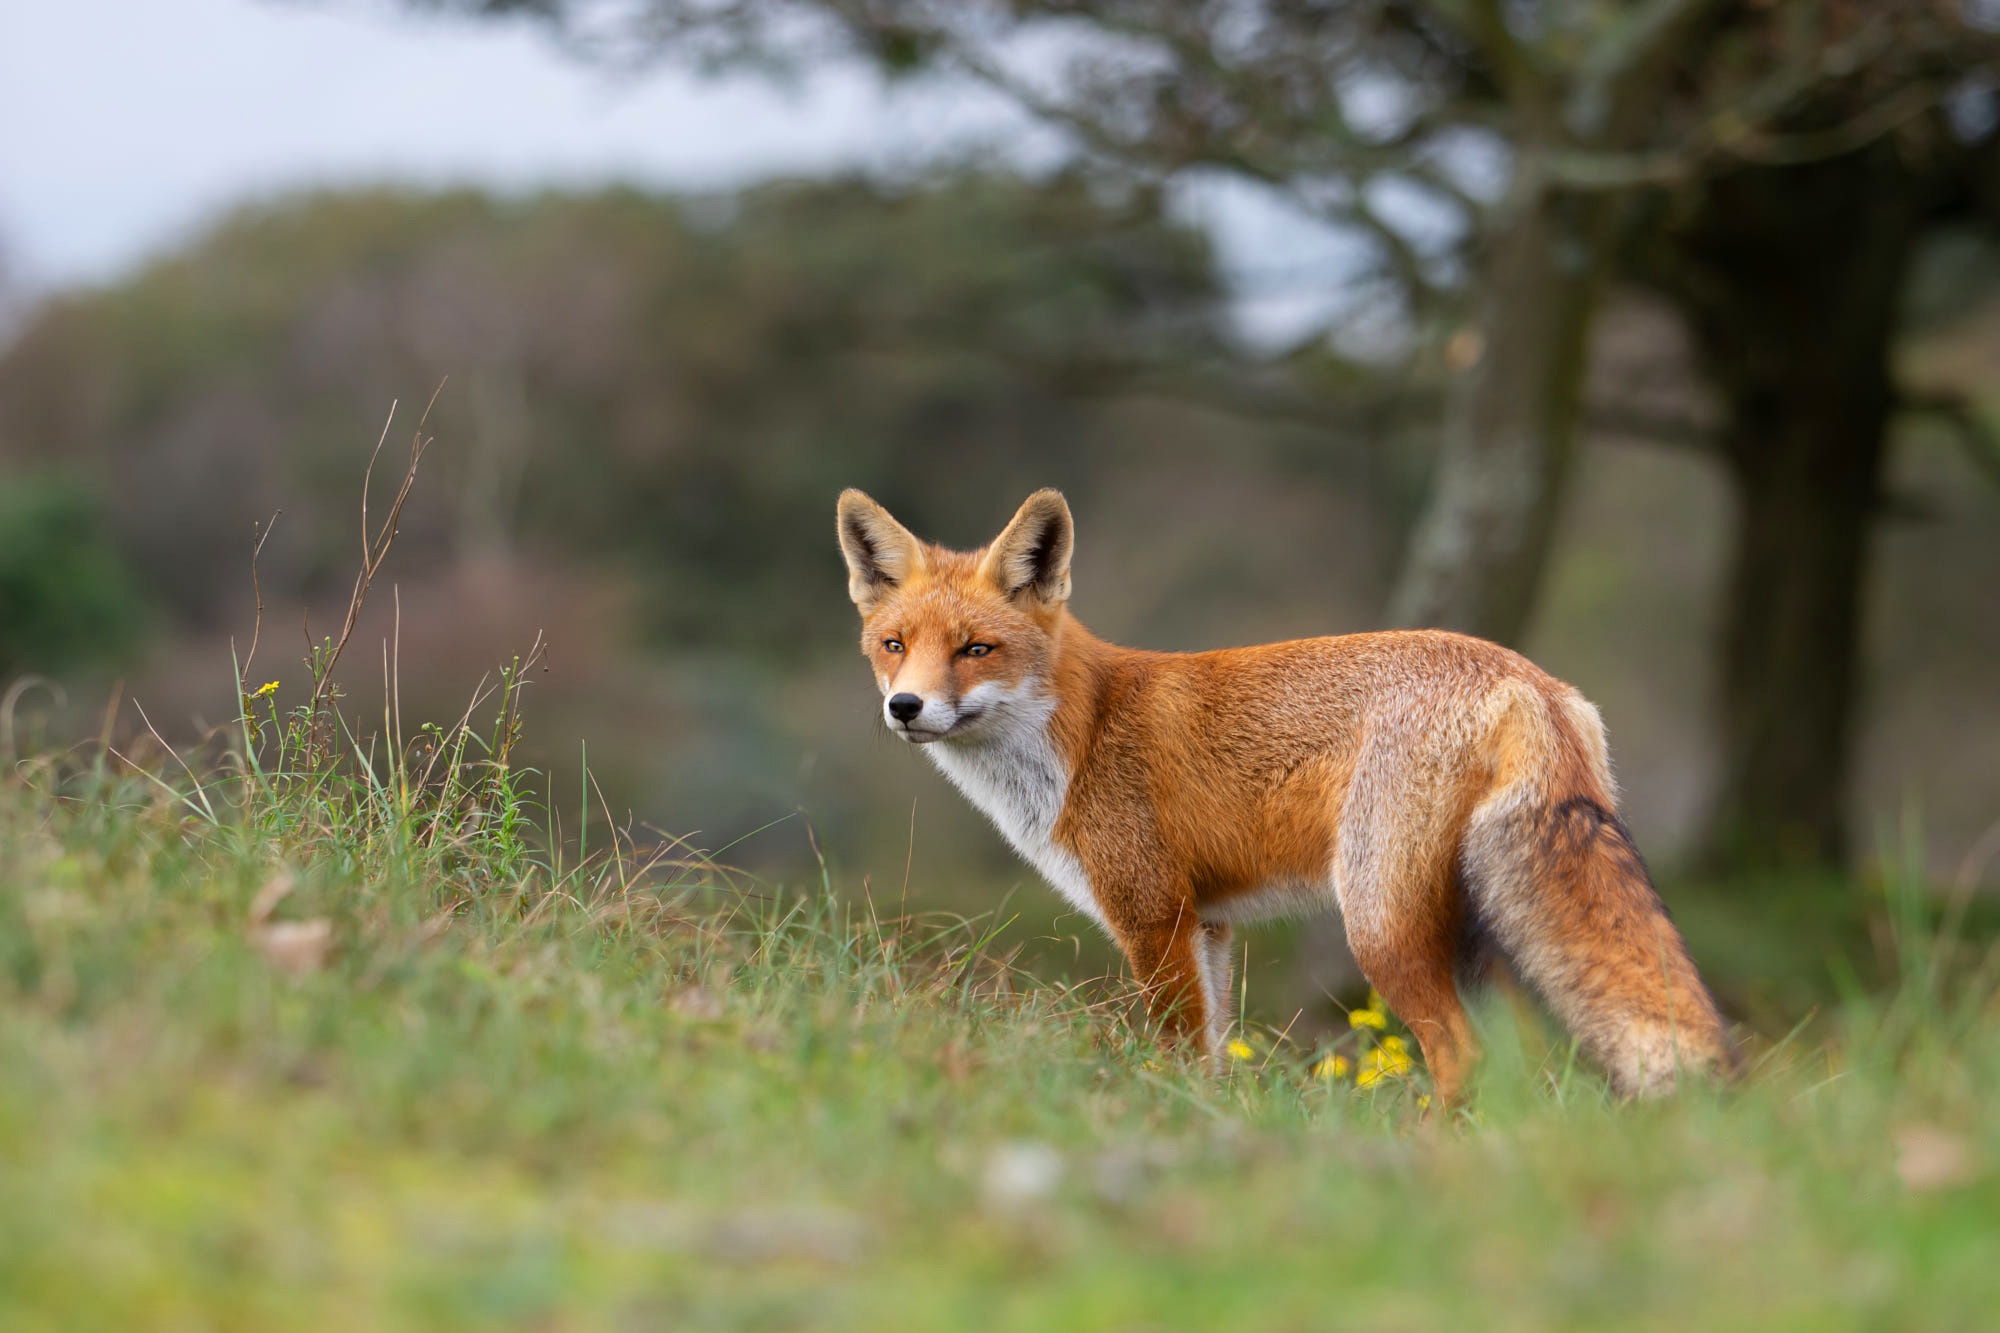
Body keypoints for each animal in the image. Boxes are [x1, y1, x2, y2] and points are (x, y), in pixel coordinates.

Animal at [836, 482, 1728, 1096]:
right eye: (894, 645)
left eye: (976, 648)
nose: (905, 707)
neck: (1080, 740)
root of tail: (1526, 678)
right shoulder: (1210, 925)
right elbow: (1214, 1053)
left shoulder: (1152, 914)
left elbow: (1179, 1049)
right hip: (1479, 934)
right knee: (1525, 1062)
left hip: (1380, 925)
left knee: (1463, 1055)